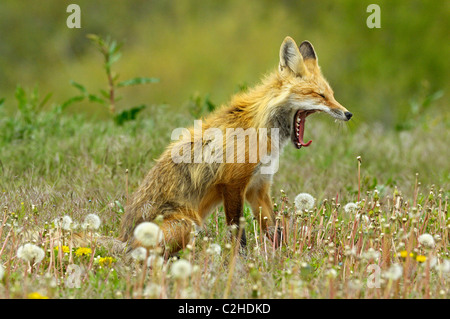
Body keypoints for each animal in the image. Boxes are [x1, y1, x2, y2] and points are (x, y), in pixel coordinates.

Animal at [118, 35, 352, 255]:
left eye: (331, 95)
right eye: (320, 95)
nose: (348, 114)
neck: (261, 128)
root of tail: (121, 240)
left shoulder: (258, 188)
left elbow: (276, 232)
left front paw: (284, 259)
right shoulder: (232, 184)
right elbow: (239, 237)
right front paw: (240, 265)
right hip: (186, 224)